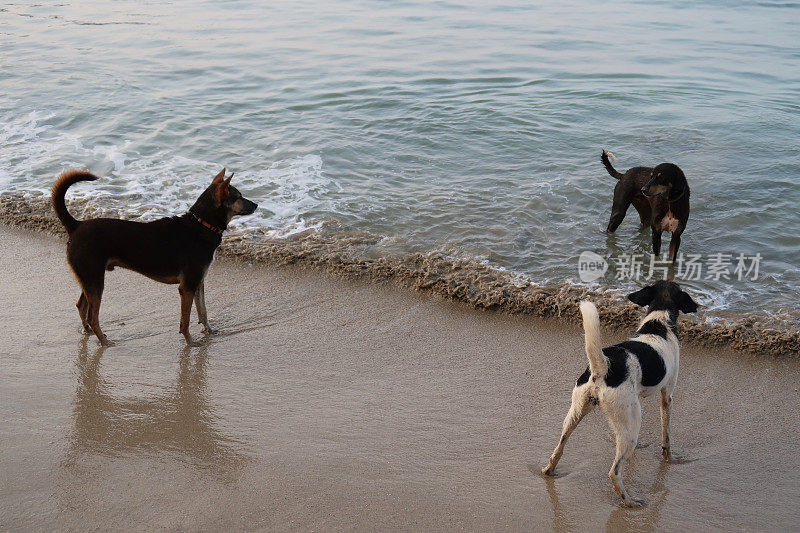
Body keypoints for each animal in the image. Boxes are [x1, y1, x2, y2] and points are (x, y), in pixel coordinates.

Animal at [51, 168, 258, 348]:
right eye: (238, 197)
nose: (256, 205)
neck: (202, 225)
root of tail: (76, 225)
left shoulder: (198, 282)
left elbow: (203, 311)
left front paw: (210, 332)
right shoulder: (187, 287)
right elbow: (185, 321)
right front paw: (190, 343)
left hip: (88, 279)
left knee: (81, 307)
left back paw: (88, 332)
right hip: (94, 280)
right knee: (92, 317)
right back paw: (105, 342)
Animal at [540, 280, 696, 504]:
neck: (659, 323)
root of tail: (603, 368)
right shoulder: (667, 395)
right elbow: (666, 434)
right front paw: (669, 458)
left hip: (575, 413)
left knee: (559, 448)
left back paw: (549, 470)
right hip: (628, 427)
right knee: (614, 472)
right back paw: (629, 501)